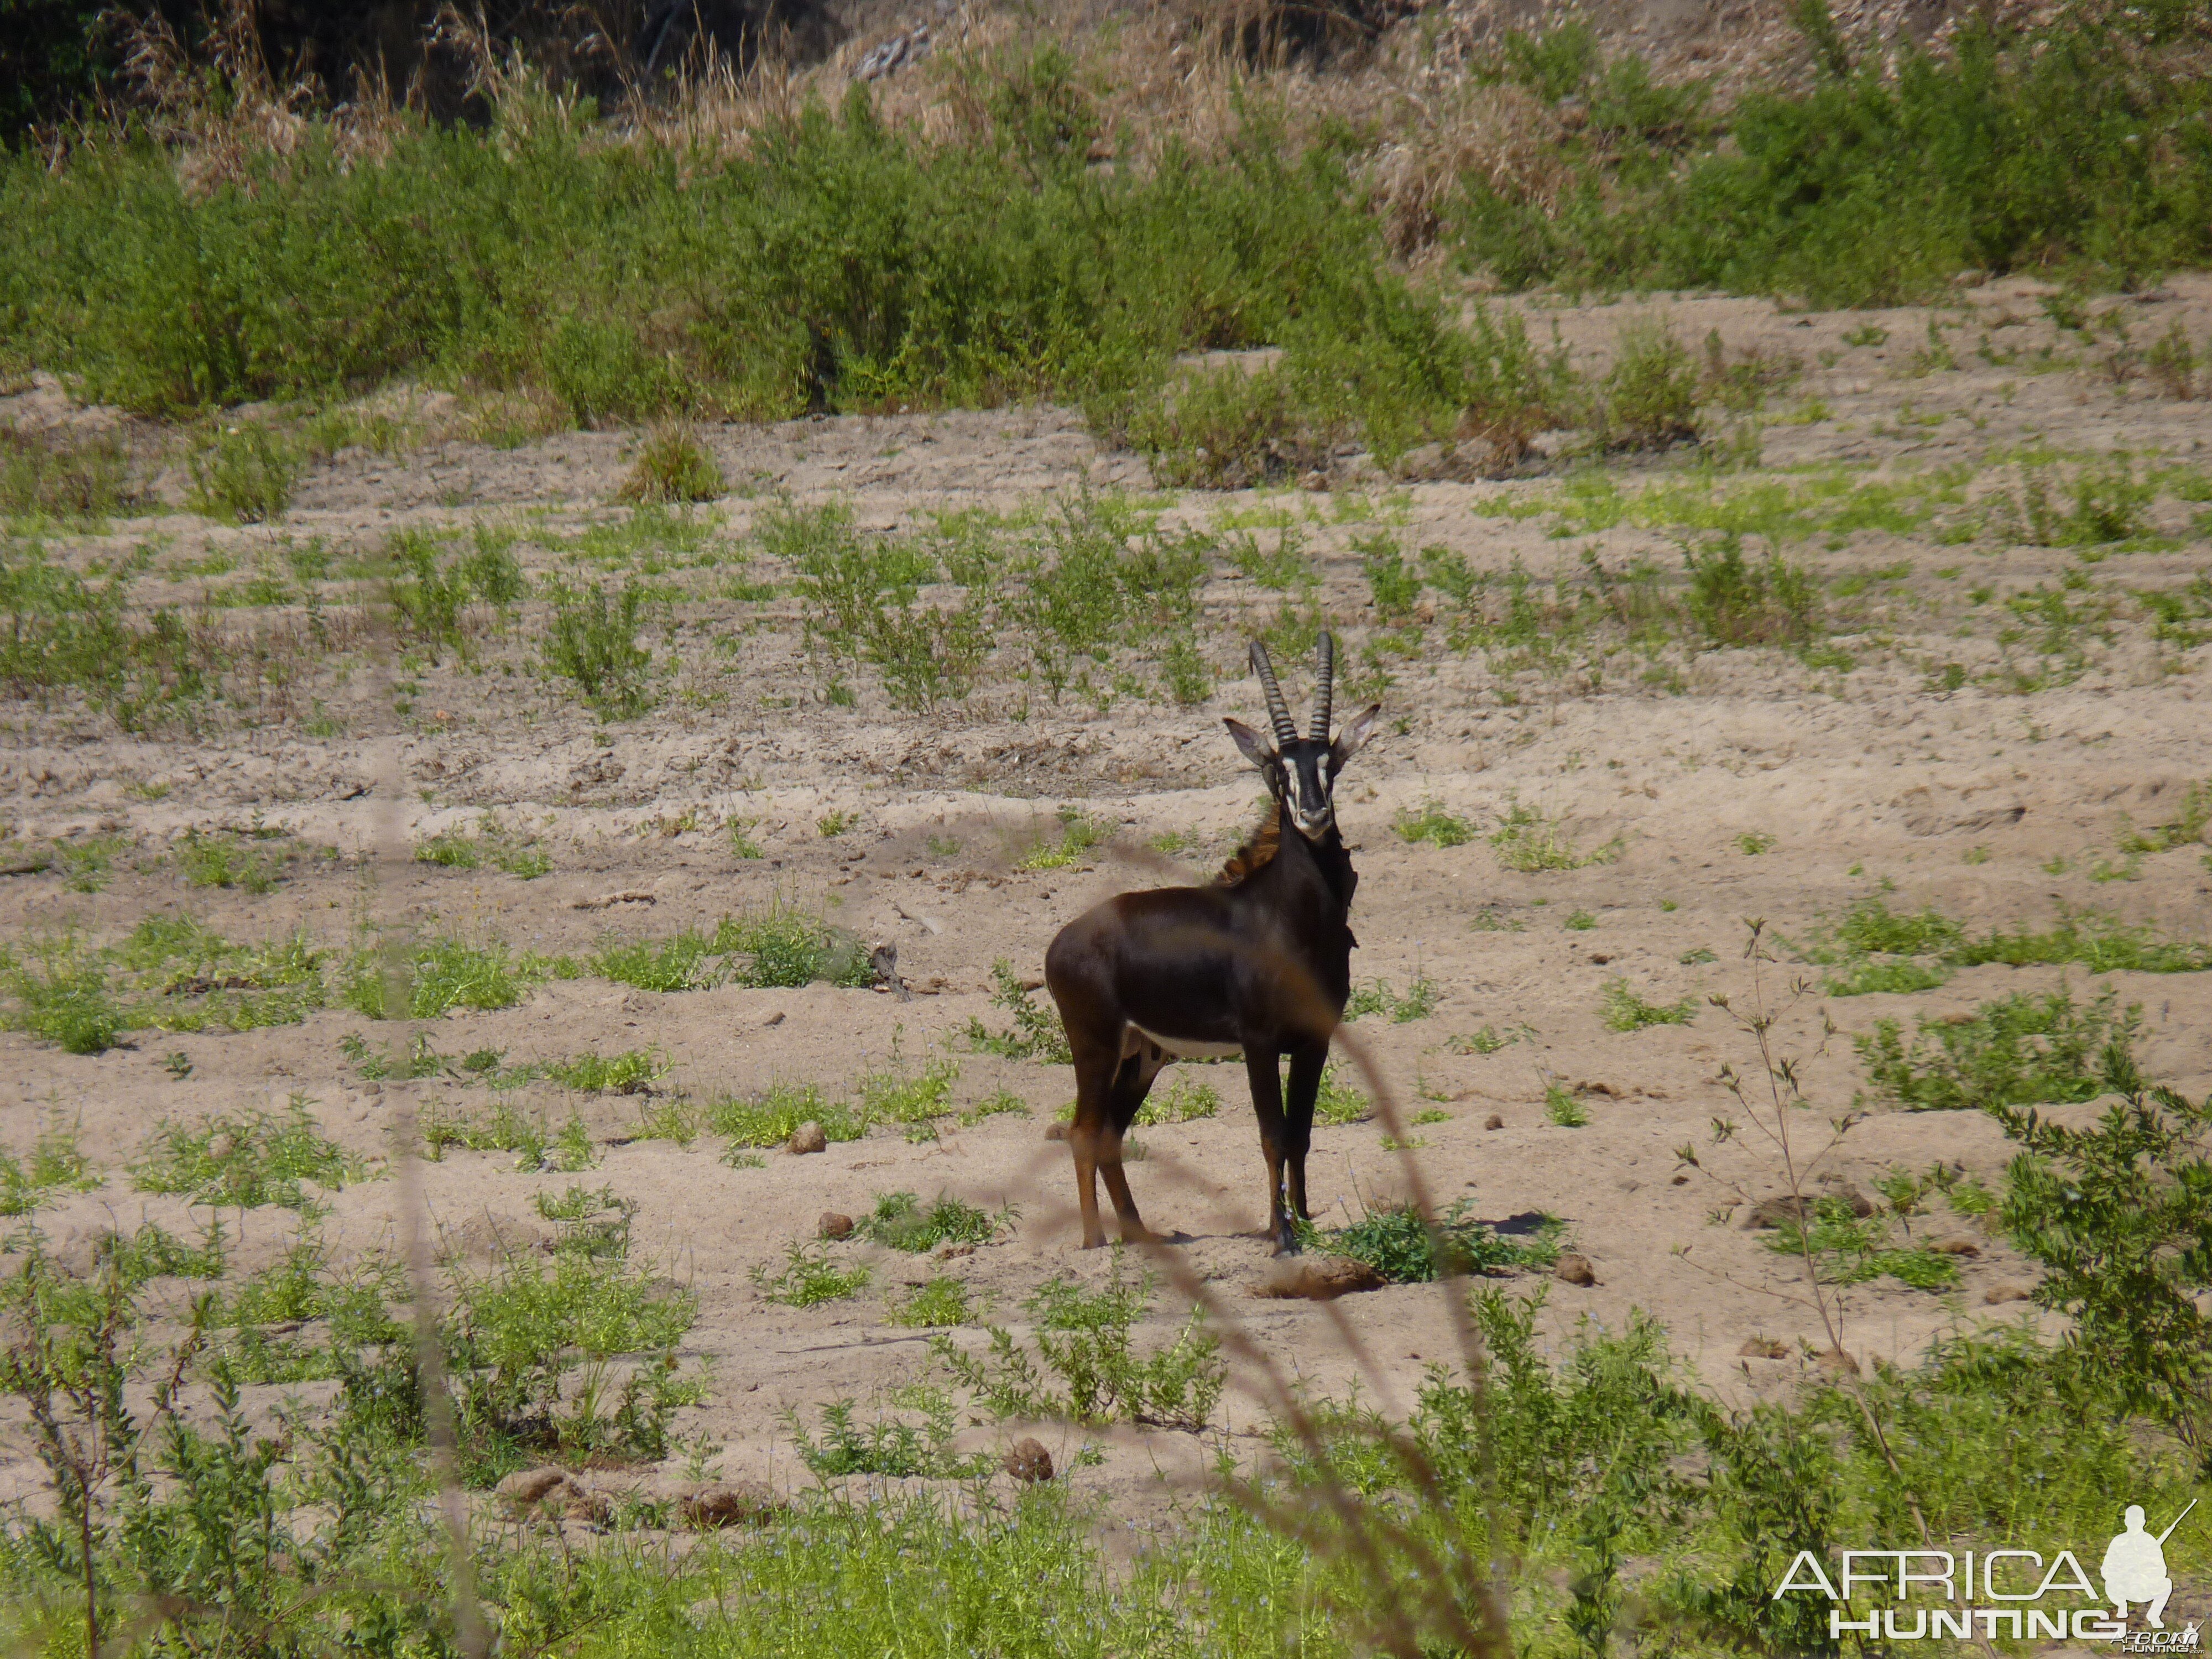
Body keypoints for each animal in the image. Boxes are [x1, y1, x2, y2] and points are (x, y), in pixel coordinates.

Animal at [1044, 633, 1371, 1248]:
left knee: (1109, 1134)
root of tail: (1062, 944)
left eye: (1330, 764)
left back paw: (1139, 1235)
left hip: (1143, 1058)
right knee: (1084, 1130)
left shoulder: (1315, 1041)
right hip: (1095, 1048)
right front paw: (1281, 1236)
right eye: (1278, 770)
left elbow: (1301, 1133)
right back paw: (1095, 1240)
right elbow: (1272, 1134)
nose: (1313, 814)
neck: (1289, 920)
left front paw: (1304, 1223)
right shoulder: (1260, 1043)